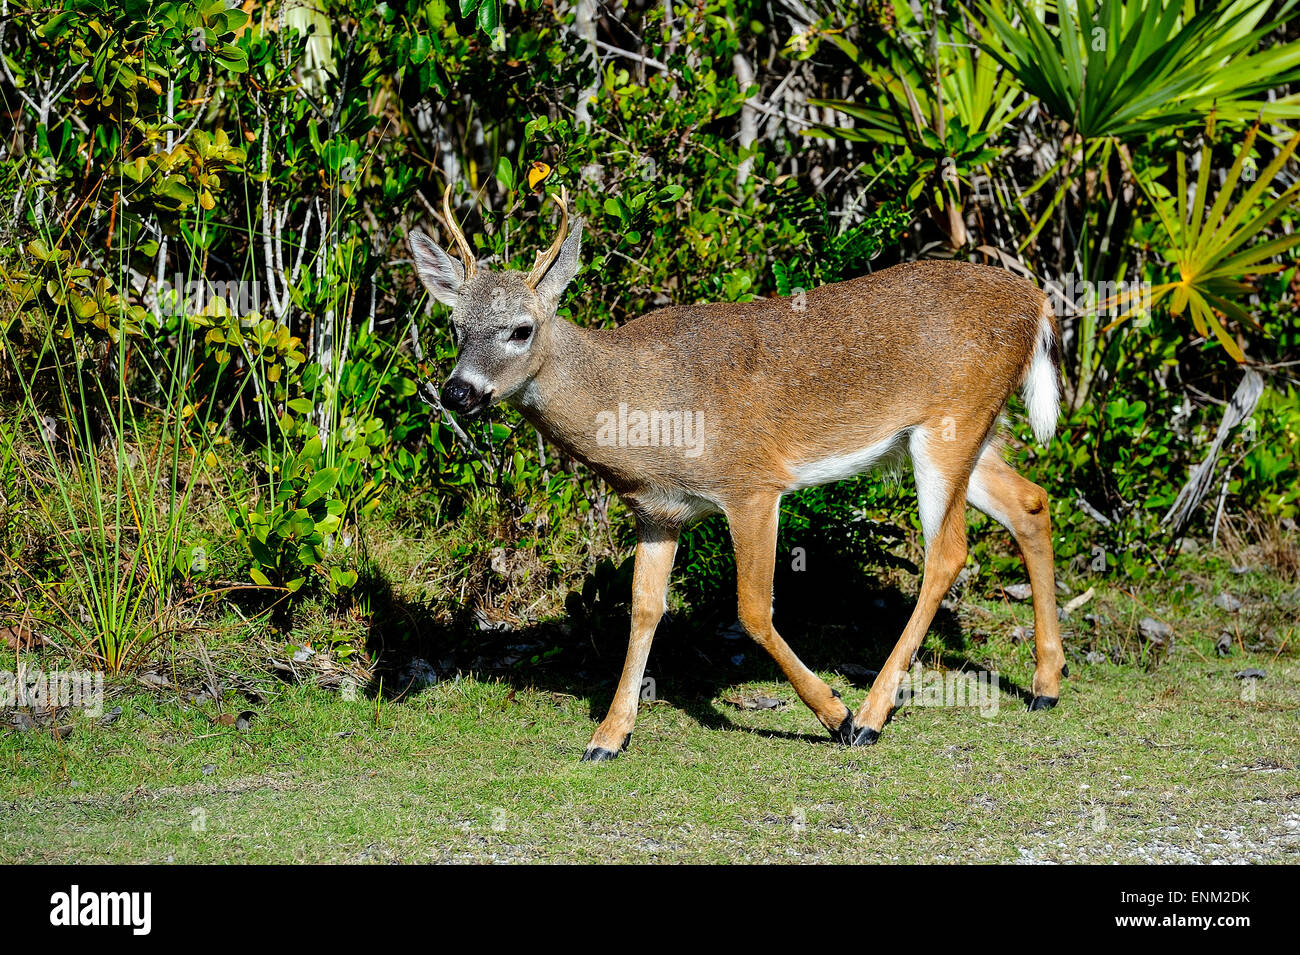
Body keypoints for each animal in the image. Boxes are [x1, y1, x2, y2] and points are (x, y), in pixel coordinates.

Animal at [405, 191, 1066, 764]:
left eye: (521, 328)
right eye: (455, 327)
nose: (458, 392)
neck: (642, 409)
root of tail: (1036, 303)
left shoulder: (751, 484)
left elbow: (751, 609)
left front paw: (835, 714)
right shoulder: (657, 512)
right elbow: (643, 610)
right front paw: (609, 736)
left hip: (950, 425)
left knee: (947, 553)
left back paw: (872, 716)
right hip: (956, 437)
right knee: (1031, 501)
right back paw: (1045, 685)